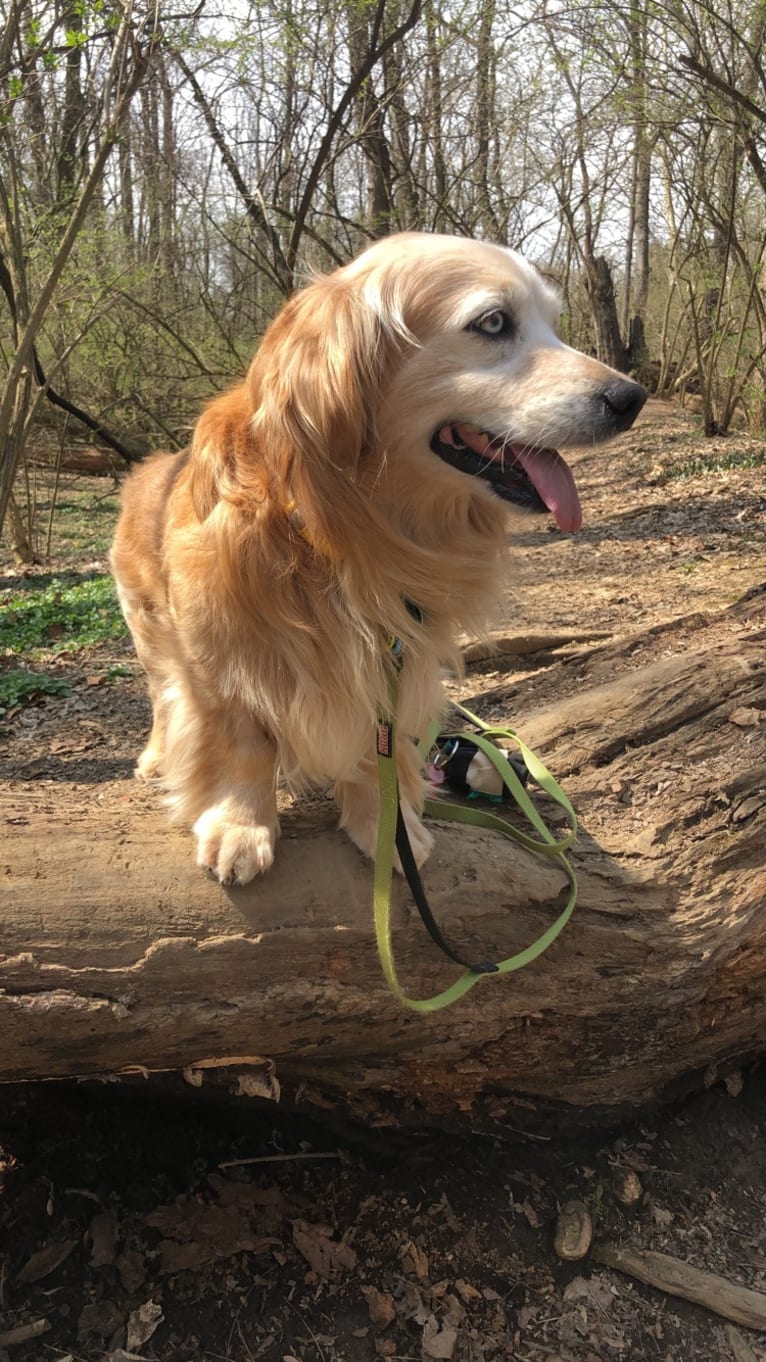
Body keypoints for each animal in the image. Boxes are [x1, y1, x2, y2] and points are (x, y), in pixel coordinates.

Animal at [110, 234, 640, 888]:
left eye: (555, 323)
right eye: (493, 322)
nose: (632, 398)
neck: (344, 531)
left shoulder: (394, 656)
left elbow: (374, 749)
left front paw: (384, 824)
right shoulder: (217, 656)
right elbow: (243, 745)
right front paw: (240, 825)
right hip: (151, 633)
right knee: (163, 697)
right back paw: (157, 756)